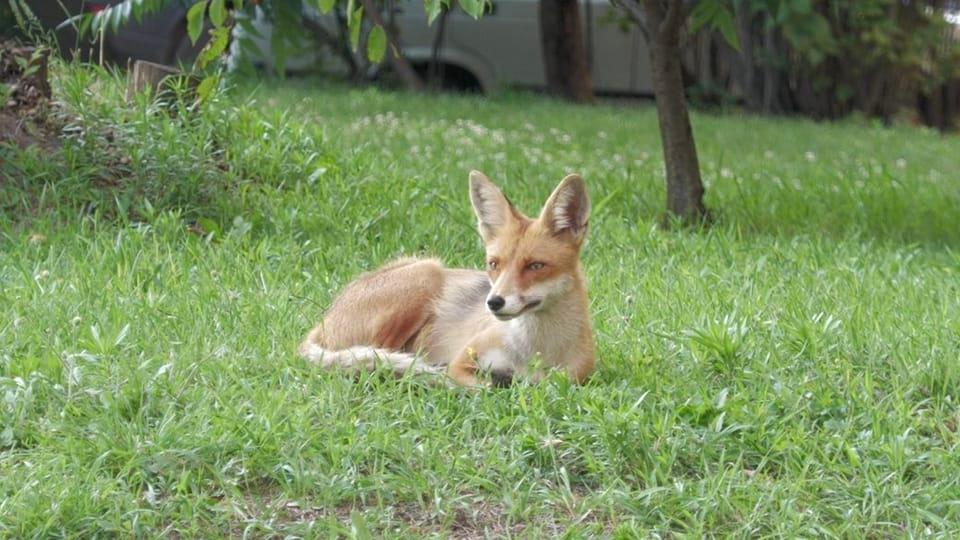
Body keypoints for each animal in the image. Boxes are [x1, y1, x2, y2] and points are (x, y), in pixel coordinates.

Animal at [298, 171, 595, 387]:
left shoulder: (572, 380)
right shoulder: (461, 363)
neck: (535, 352)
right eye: (494, 264)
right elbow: (483, 387)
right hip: (427, 273)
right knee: (374, 354)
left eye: (535, 265)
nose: (494, 302)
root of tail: (324, 318)